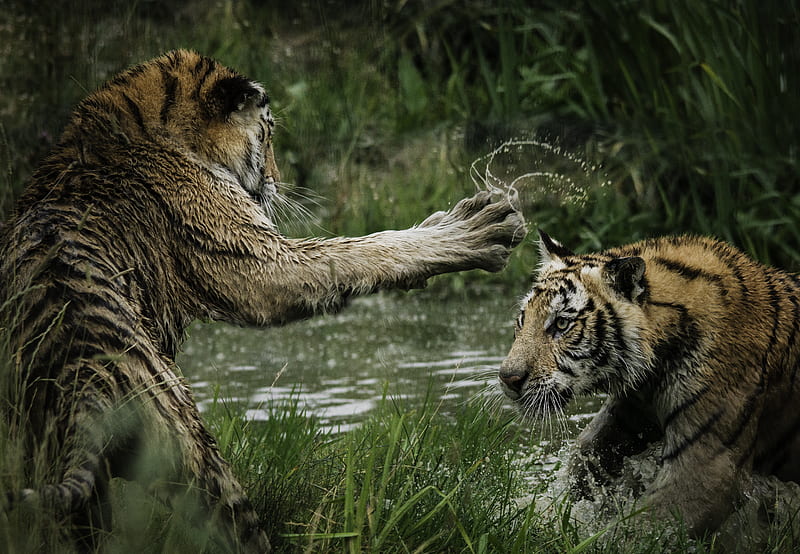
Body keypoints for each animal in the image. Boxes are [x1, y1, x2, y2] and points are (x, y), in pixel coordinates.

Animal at [0, 49, 528, 548]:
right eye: (269, 135)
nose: (275, 179)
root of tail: (81, 374)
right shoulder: (261, 263)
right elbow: (361, 250)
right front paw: (476, 229)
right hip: (191, 448)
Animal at [500, 229, 800, 536]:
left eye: (562, 324)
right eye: (522, 320)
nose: (507, 378)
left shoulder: (707, 465)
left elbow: (641, 530)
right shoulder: (630, 412)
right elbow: (585, 456)